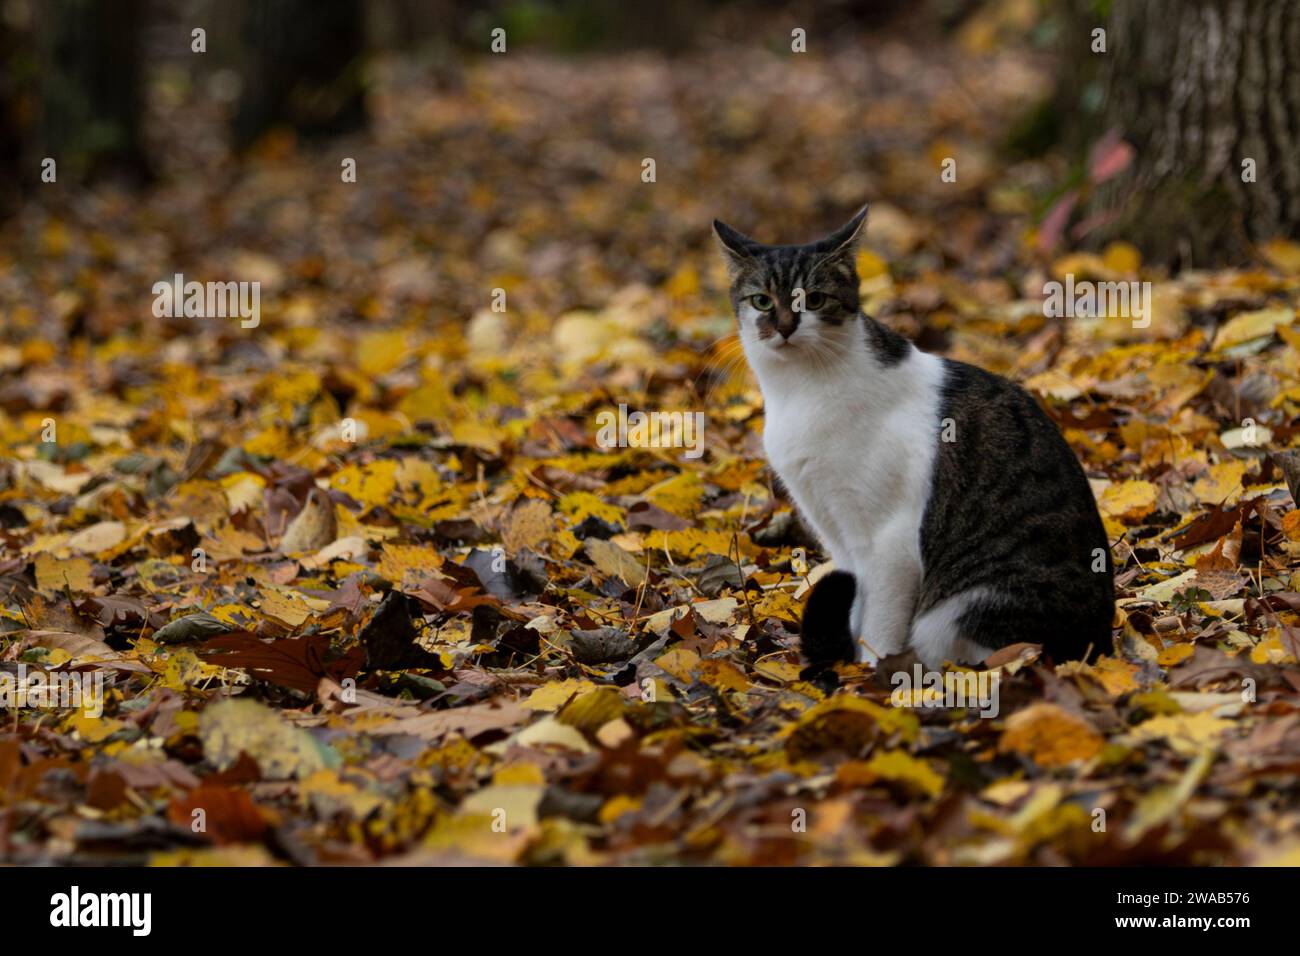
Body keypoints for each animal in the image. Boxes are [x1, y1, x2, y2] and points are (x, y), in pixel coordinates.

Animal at [717, 205, 1112, 671]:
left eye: (813, 299)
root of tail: (1100, 643)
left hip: (962, 611)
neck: (799, 392)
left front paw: (867, 676)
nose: (784, 327)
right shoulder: (837, 534)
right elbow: (855, 610)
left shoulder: (892, 540)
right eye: (762, 300)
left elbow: (879, 626)